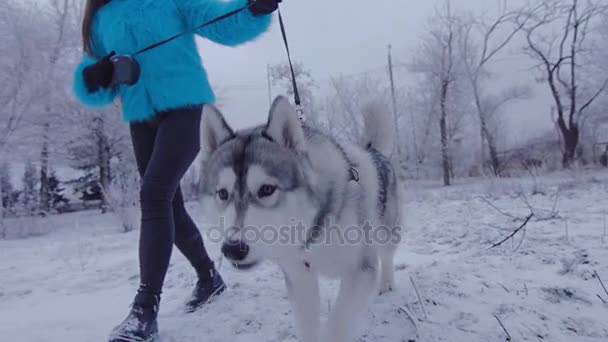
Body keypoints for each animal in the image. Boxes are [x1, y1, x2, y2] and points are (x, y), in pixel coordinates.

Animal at [200, 95, 404, 342]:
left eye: (266, 189)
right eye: (222, 194)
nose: (232, 248)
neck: (315, 232)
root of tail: (373, 152)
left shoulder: (360, 271)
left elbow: (338, 323)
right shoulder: (299, 277)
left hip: (387, 232)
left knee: (387, 255)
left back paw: (387, 283)